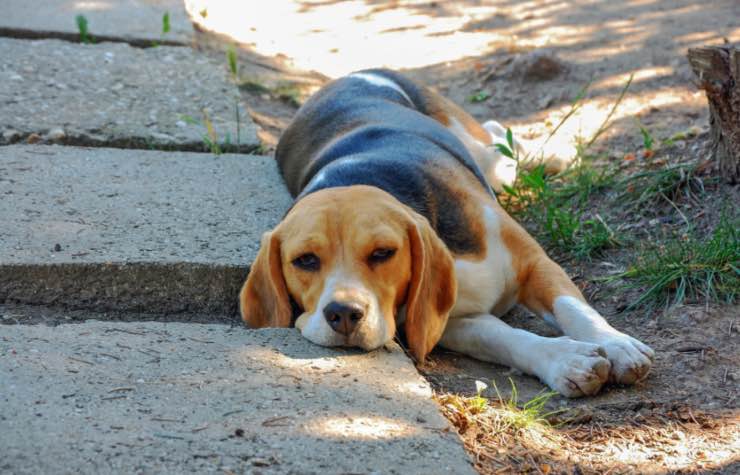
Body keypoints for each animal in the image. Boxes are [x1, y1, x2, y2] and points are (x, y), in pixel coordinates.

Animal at [243, 69, 652, 398]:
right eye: (305, 261)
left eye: (383, 253)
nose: (342, 313)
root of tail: (344, 78)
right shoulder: (446, 319)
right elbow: (502, 337)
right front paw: (565, 359)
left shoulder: (535, 263)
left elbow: (574, 309)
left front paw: (617, 344)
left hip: (484, 155)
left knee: (498, 139)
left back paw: (554, 153)